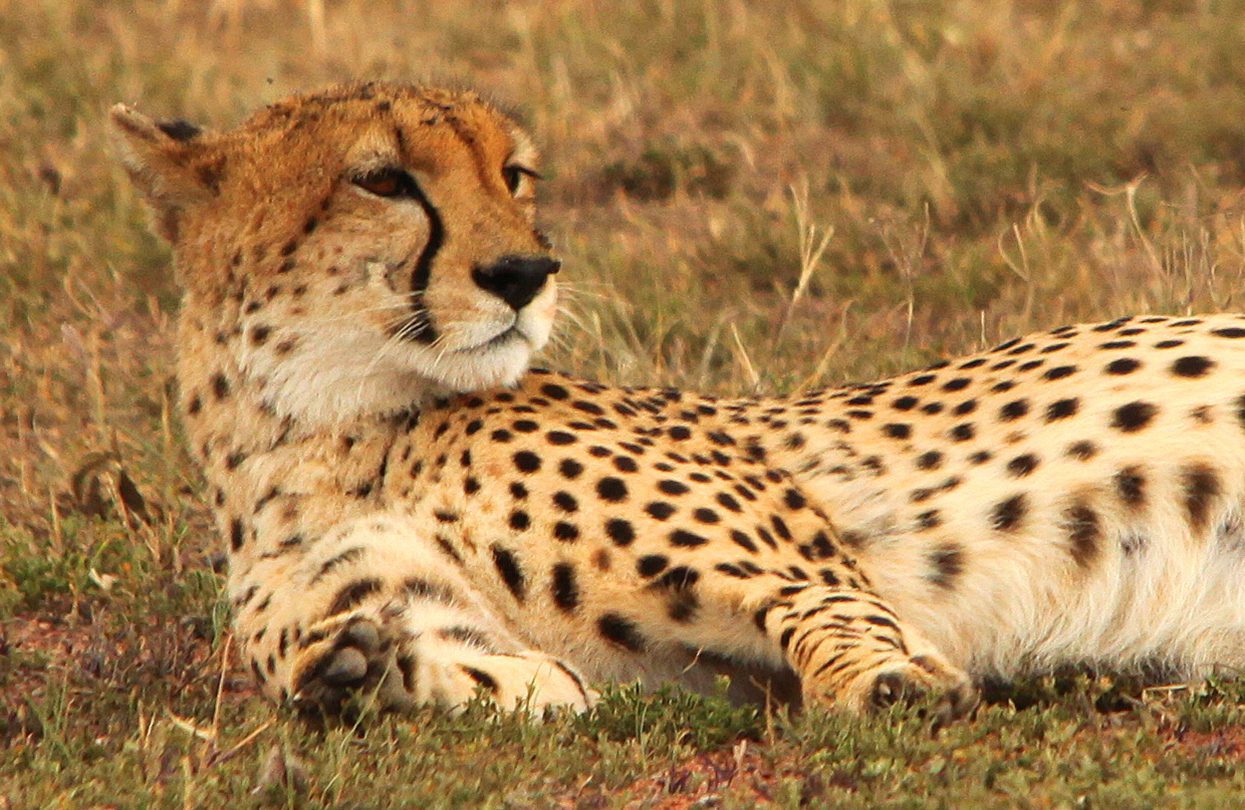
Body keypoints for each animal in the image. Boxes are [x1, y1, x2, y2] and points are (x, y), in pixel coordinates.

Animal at [109, 82, 1245, 721]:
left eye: (514, 173)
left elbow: (833, 613)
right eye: (383, 180)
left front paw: (886, 680)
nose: (526, 272)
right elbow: (499, 677)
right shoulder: (491, 643)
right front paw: (355, 675)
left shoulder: (808, 569)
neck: (321, 427)